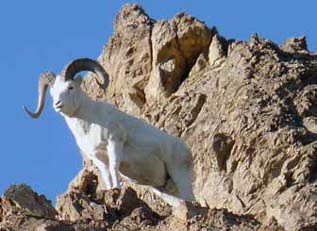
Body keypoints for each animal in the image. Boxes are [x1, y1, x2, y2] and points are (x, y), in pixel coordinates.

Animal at [24, 57, 194, 206]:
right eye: (53, 93)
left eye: (70, 87)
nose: (57, 104)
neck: (89, 125)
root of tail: (186, 150)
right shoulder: (97, 157)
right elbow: (106, 174)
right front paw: (110, 190)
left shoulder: (114, 143)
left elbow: (113, 167)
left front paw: (116, 189)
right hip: (162, 189)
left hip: (179, 174)